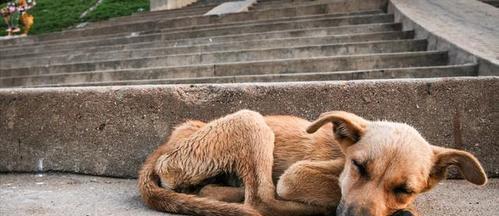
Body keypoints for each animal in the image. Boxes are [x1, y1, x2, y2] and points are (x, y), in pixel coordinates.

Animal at [138, 109, 488, 216]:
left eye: (404, 189)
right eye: (359, 167)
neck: (341, 155)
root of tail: (165, 147)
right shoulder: (296, 175)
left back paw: (218, 192)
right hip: (251, 121)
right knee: (261, 200)